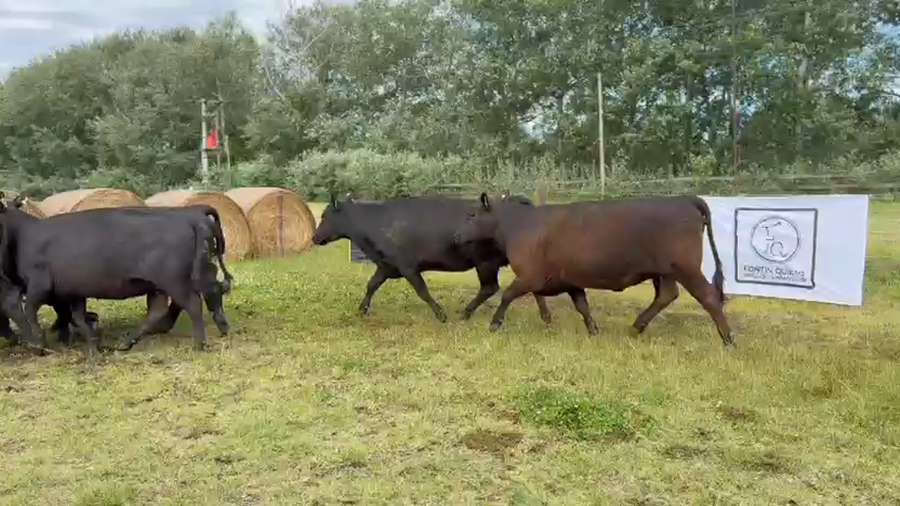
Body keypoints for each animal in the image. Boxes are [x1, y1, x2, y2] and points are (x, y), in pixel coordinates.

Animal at [0, 201, 230, 356]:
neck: (25, 235)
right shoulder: (73, 291)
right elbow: (76, 316)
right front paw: (91, 342)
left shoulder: (38, 284)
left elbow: (30, 311)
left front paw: (39, 342)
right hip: (159, 285)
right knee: (160, 309)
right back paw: (126, 342)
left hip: (175, 280)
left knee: (194, 302)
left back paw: (199, 343)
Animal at [311, 193, 552, 324]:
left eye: (324, 216)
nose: (314, 237)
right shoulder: (387, 265)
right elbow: (372, 285)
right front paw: (362, 309)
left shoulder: (407, 266)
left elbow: (422, 291)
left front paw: (441, 315)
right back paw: (546, 317)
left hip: (486, 263)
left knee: (490, 288)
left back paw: (465, 313)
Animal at [455, 193, 736, 348]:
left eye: (471, 215)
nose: (456, 235)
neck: (519, 223)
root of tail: (685, 200)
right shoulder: (568, 280)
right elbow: (582, 305)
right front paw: (593, 330)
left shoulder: (530, 276)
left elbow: (507, 295)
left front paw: (494, 323)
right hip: (665, 271)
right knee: (666, 295)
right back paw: (636, 326)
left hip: (686, 267)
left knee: (709, 298)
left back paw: (729, 340)